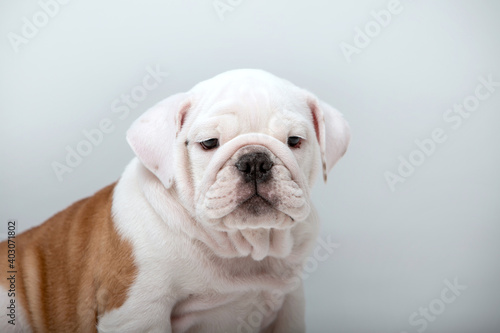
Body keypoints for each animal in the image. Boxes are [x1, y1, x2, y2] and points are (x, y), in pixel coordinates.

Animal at [0, 68, 350, 330]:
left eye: (295, 141)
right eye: (209, 143)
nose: (255, 160)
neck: (242, 246)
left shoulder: (289, 303)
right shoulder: (139, 311)